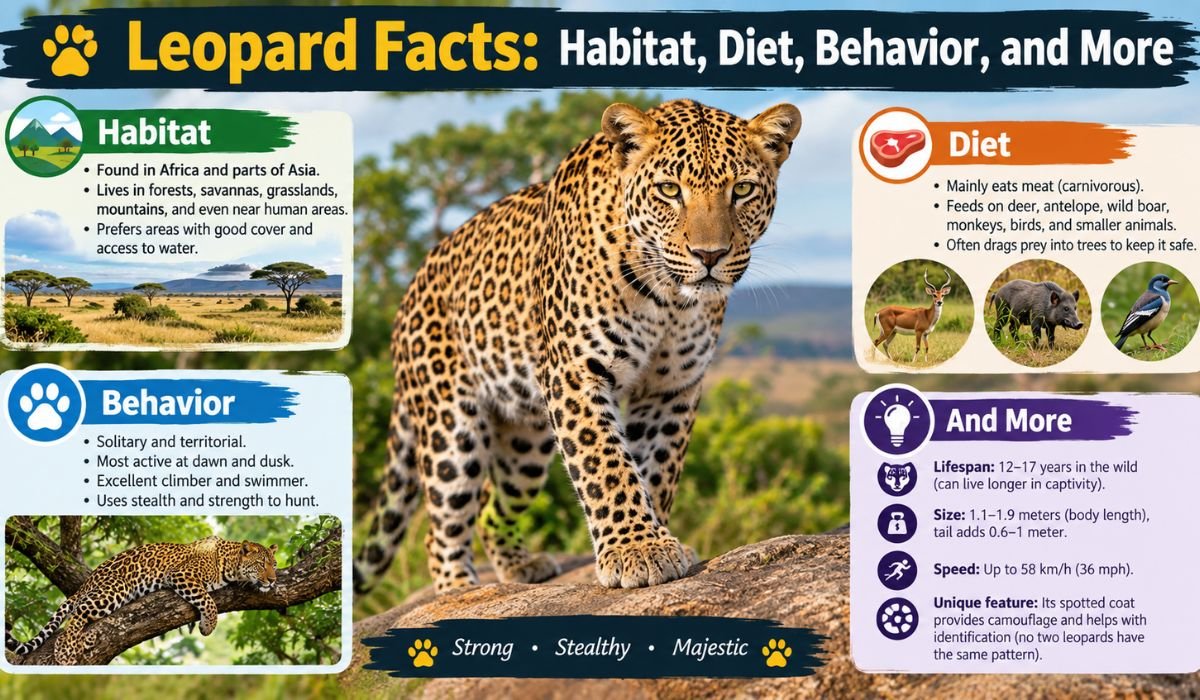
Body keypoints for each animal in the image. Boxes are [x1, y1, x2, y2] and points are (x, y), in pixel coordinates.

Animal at [5, 536, 278, 665]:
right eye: (260, 564)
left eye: (274, 565)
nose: (273, 580)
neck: (229, 563)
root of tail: (87, 582)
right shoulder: (181, 574)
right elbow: (207, 599)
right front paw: (208, 625)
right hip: (115, 590)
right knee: (76, 616)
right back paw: (65, 651)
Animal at [353, 98, 802, 594]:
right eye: (669, 190)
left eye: (742, 190)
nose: (710, 256)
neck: (667, 297)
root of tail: (409, 291)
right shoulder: (577, 370)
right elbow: (605, 463)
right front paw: (636, 548)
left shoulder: (672, 387)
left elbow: (656, 469)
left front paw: (655, 540)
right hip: (451, 427)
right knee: (442, 525)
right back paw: (460, 589)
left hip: (525, 443)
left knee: (492, 506)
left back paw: (520, 567)